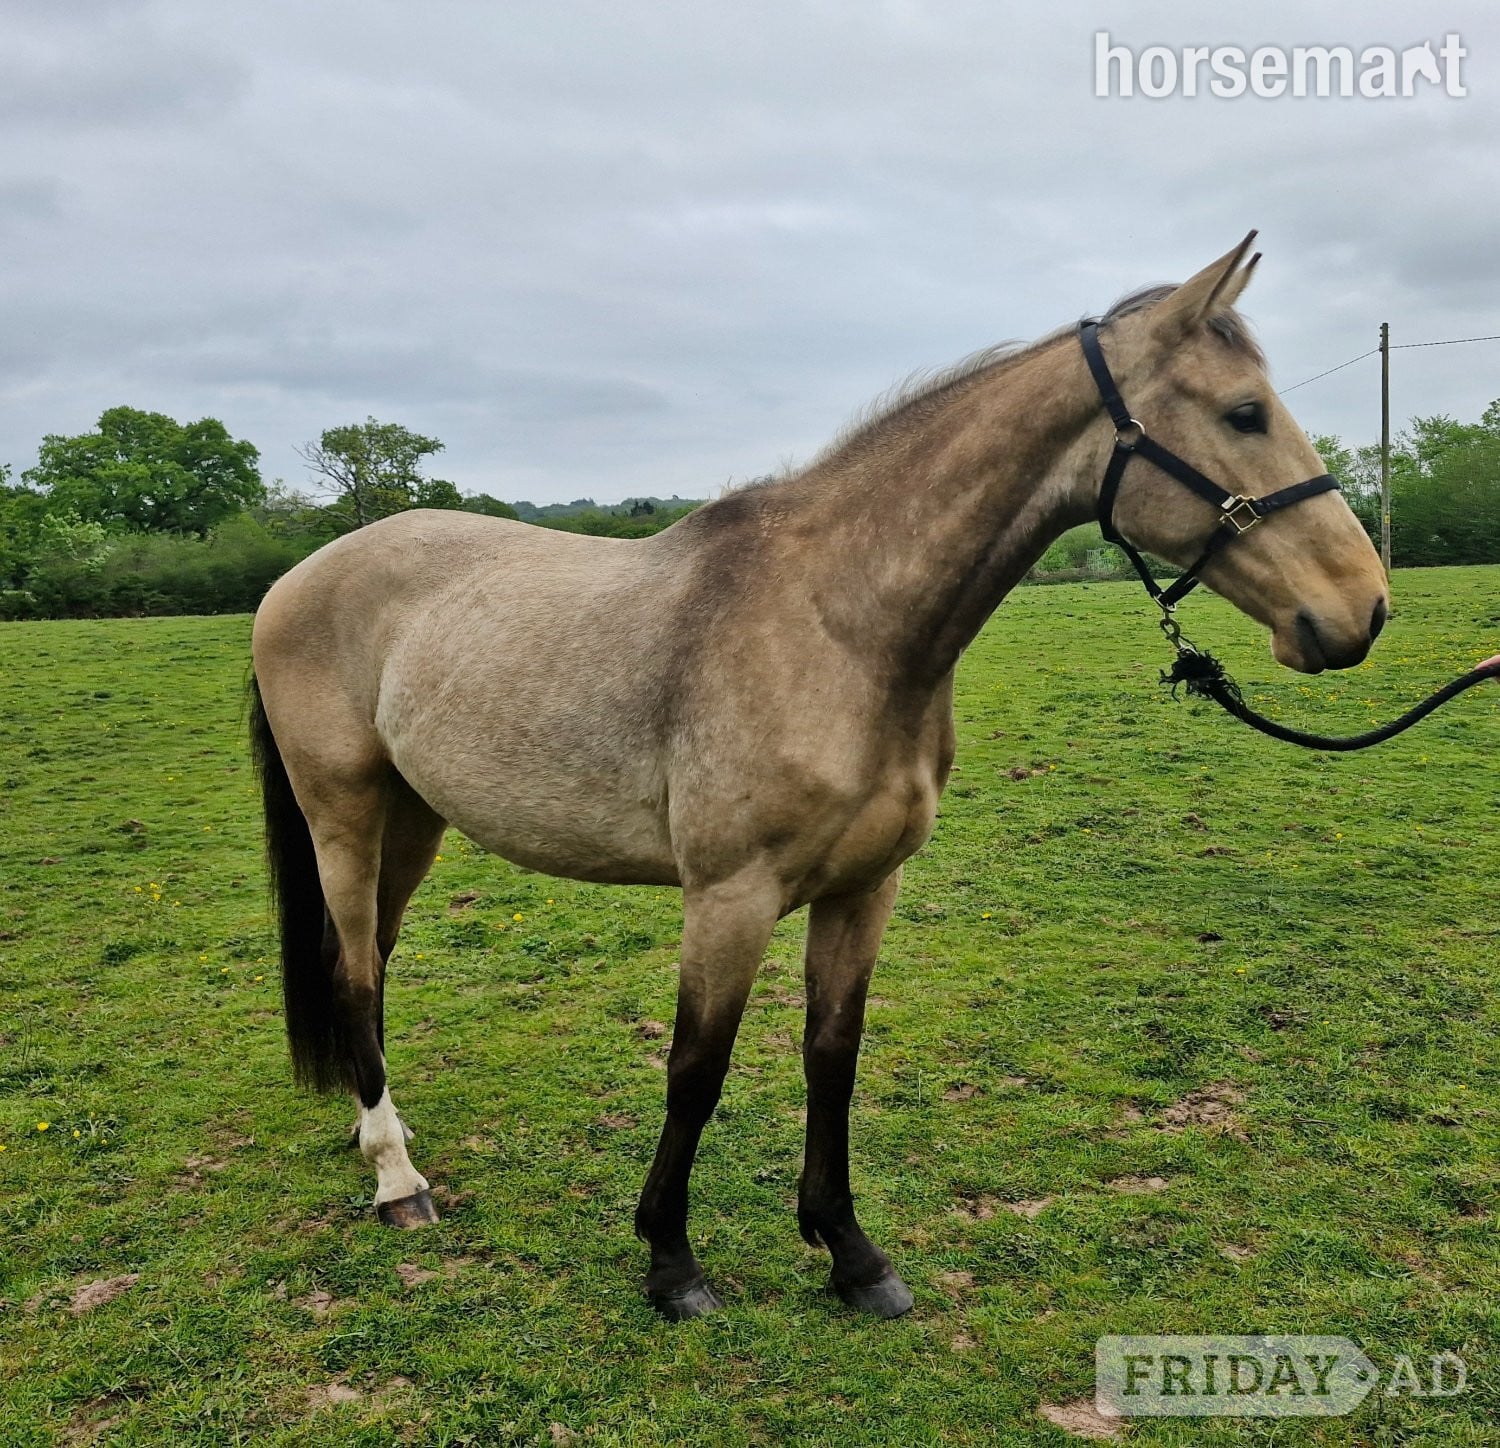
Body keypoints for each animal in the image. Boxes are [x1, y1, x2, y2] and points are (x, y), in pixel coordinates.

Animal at [249, 235, 1388, 1320]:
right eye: (1244, 412)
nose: (1362, 607)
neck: (837, 625)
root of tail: (298, 576)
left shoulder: (863, 888)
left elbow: (831, 1055)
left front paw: (850, 1254)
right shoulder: (729, 897)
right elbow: (695, 1070)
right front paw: (671, 1261)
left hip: (414, 819)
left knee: (370, 960)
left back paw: (375, 1132)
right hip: (344, 813)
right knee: (355, 970)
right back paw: (397, 1178)